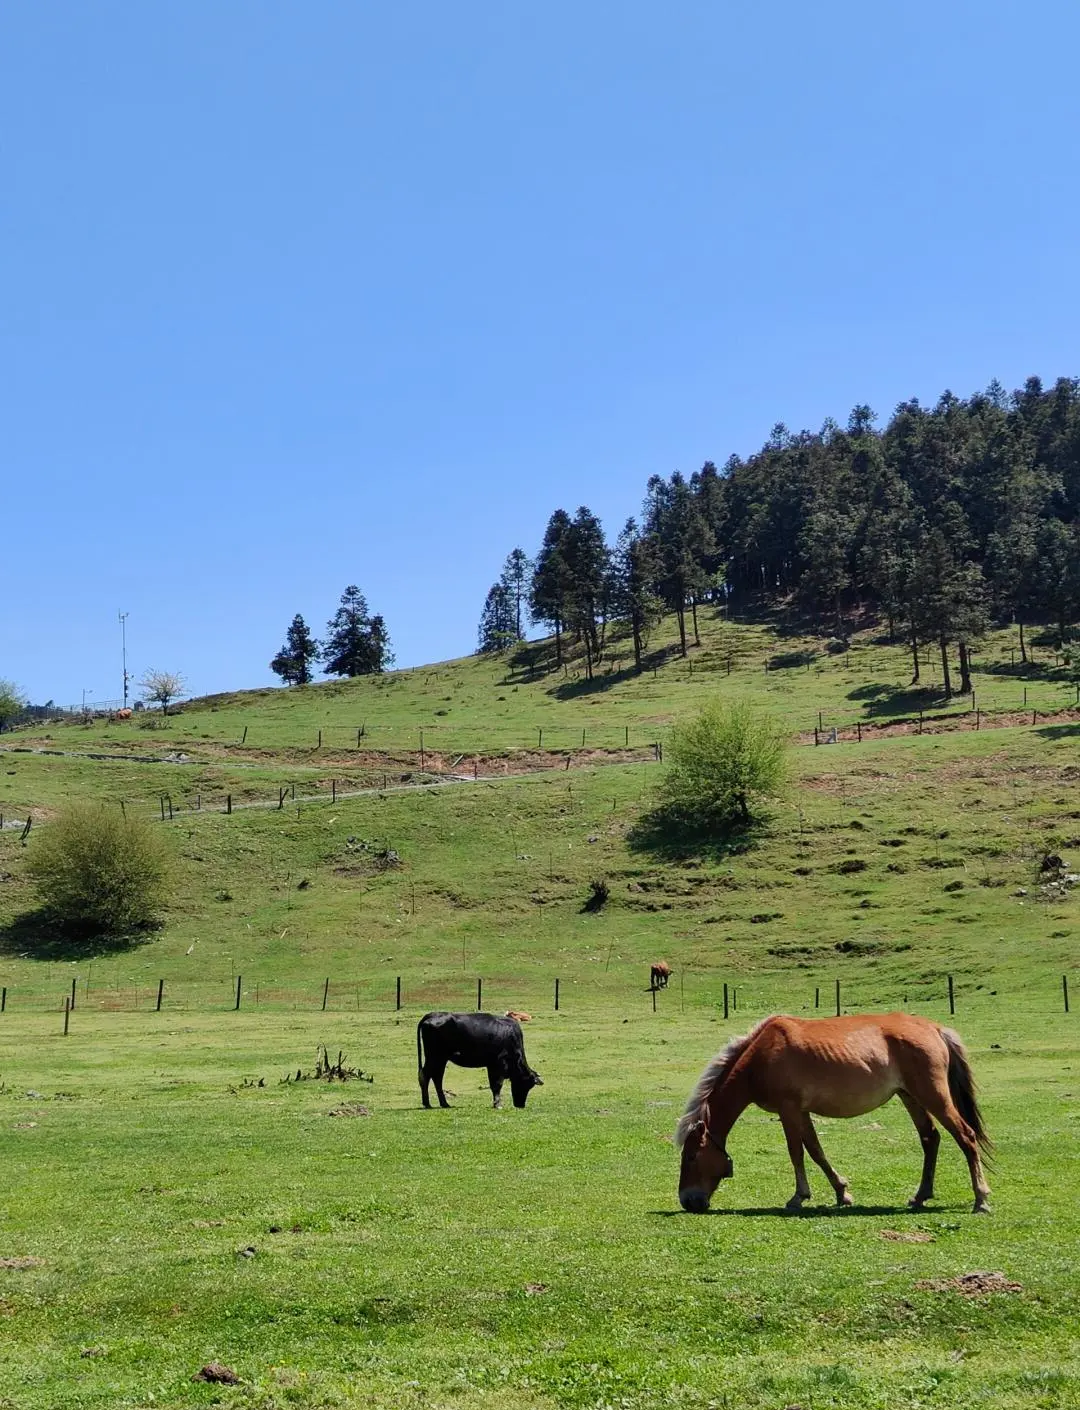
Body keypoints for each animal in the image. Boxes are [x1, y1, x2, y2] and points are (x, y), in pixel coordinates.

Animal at [417, 1015, 547, 1111]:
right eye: (527, 1085)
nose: (521, 1105)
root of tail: (433, 1014)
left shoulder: (491, 1065)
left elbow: (493, 1085)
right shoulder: (499, 1064)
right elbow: (497, 1084)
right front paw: (498, 1104)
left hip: (441, 1059)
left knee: (437, 1078)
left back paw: (444, 1103)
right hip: (435, 1057)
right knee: (426, 1075)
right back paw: (427, 1103)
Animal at [682, 1015, 992, 1212]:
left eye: (692, 1156)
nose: (687, 1201)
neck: (762, 1055)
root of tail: (935, 1028)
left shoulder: (788, 1109)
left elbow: (796, 1151)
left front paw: (798, 1197)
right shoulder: (801, 1111)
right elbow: (816, 1151)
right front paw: (842, 1192)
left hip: (933, 1096)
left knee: (966, 1136)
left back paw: (981, 1199)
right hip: (910, 1097)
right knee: (930, 1139)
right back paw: (920, 1196)